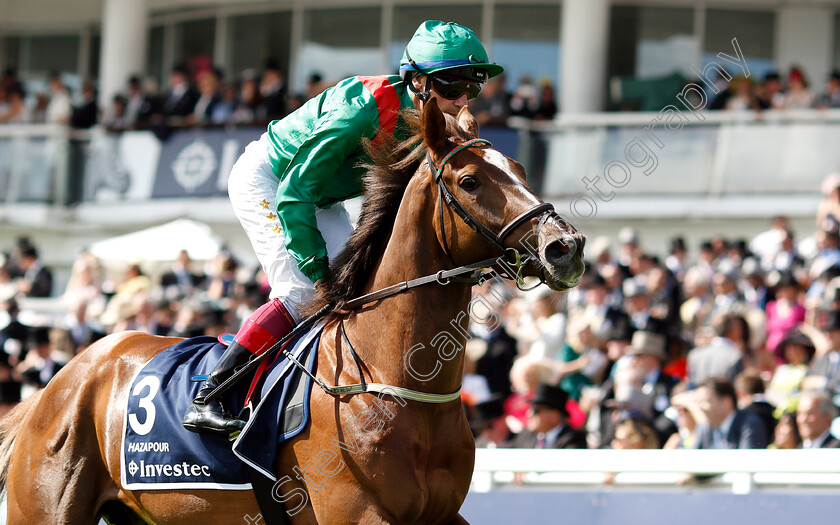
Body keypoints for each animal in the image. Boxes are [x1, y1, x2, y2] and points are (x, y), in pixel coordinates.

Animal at [0, 100, 584, 520]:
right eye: (469, 181)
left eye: (520, 168)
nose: (566, 246)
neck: (394, 380)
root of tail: (60, 381)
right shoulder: (358, 515)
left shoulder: (441, 516)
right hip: (45, 509)